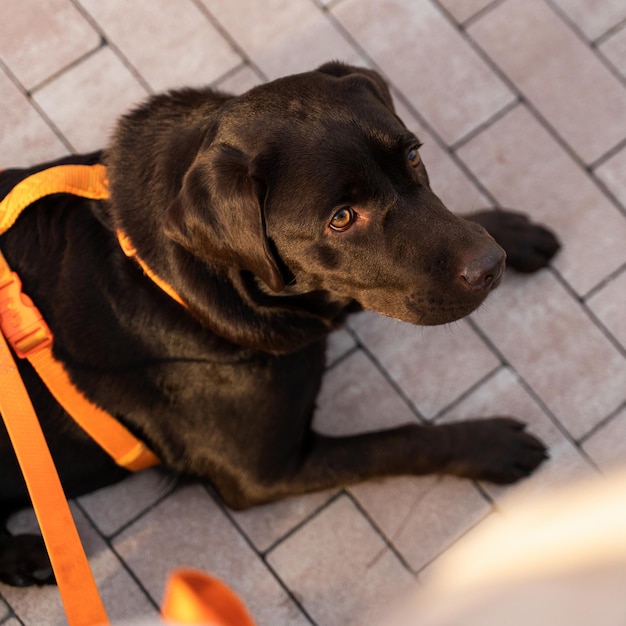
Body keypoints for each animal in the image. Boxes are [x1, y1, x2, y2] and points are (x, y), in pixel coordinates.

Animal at [0, 61, 556, 584]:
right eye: (341, 218)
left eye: (414, 156)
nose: (490, 265)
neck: (167, 278)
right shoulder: (265, 471)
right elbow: (398, 441)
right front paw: (491, 444)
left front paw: (510, 230)